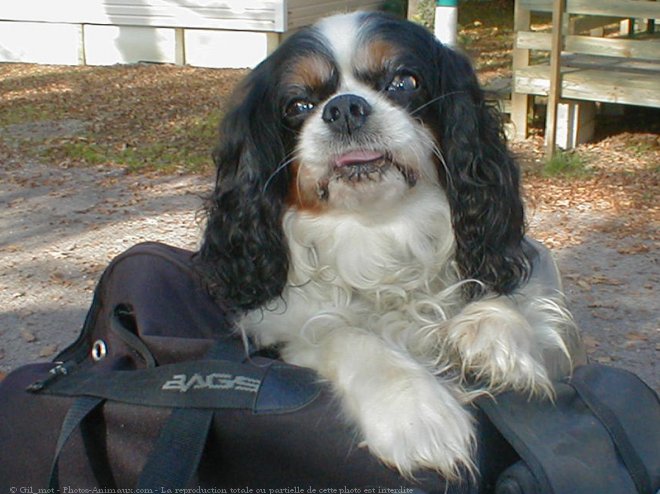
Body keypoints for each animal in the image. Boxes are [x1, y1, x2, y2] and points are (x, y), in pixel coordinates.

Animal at [197, 11, 584, 480]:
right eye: (298, 106)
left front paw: (491, 336)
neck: (381, 230)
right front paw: (415, 412)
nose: (344, 108)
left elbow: (520, 308)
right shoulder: (284, 333)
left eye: (403, 81)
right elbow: (347, 334)